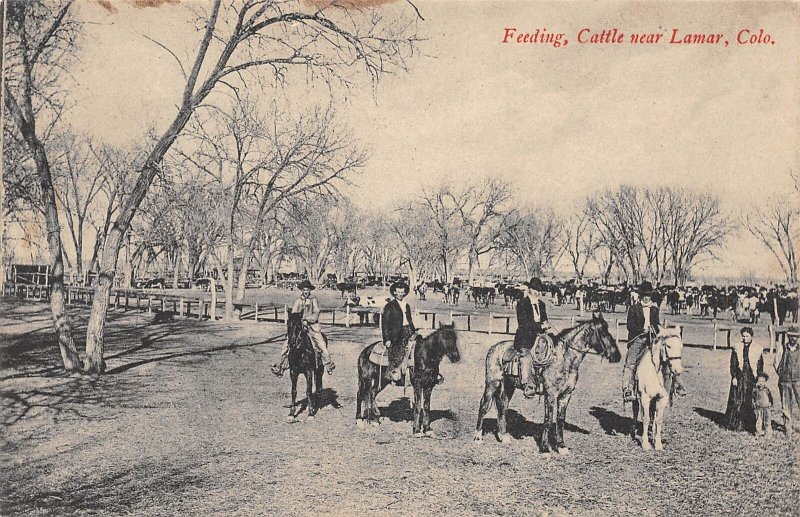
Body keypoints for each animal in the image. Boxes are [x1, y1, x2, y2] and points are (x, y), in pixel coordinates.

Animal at [472, 310, 620, 452]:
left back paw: (504, 437)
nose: (617, 356)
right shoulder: (550, 394)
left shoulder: (566, 395)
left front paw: (561, 446)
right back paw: (478, 437)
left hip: (509, 386)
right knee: (484, 405)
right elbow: (548, 420)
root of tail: (494, 348)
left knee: (502, 406)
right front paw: (544, 448)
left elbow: (560, 420)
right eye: (603, 333)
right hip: (492, 383)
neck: (564, 360)